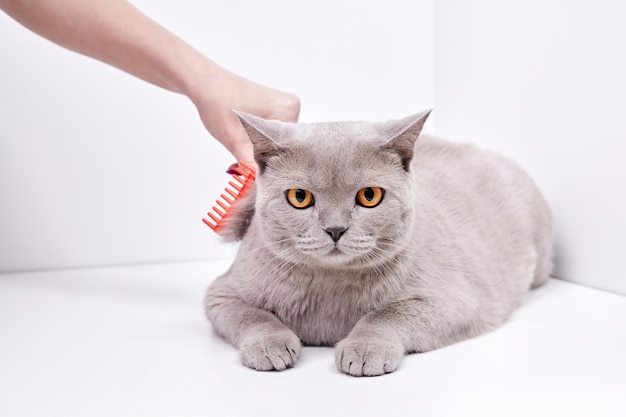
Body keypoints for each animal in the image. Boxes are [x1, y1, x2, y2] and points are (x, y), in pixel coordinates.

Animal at [204, 109, 552, 376]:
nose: (335, 229)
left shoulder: (455, 300)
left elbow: (387, 314)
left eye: (369, 196)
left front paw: (364, 348)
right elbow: (254, 316)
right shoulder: (223, 292)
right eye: (299, 197)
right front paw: (271, 346)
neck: (330, 290)